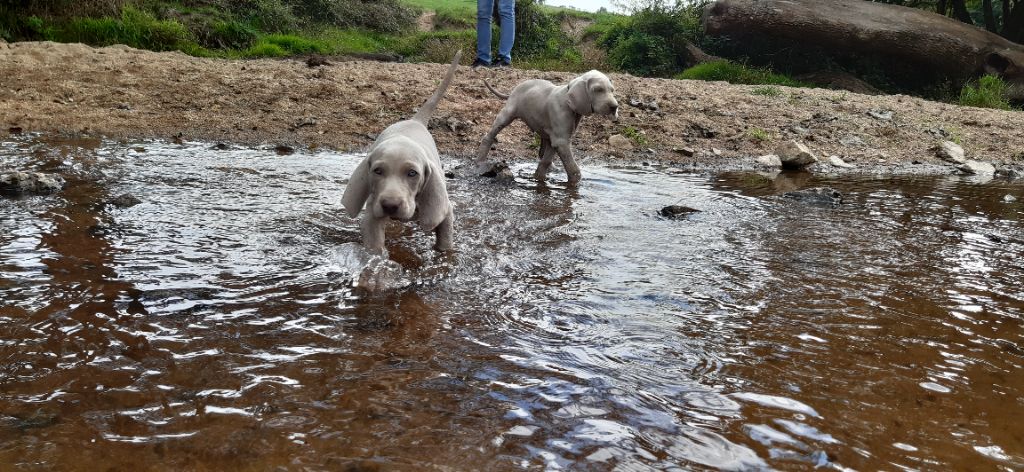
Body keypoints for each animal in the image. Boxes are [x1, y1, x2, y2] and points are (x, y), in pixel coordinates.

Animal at [342, 49, 462, 251]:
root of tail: (415, 120)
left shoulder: (444, 209)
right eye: (377, 171)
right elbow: (374, 245)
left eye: (412, 173)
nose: (390, 205)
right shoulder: (373, 214)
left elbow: (445, 241)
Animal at [468, 69, 614, 185]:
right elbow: (572, 167)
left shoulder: (557, 139)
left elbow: (546, 161)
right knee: (489, 136)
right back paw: (480, 162)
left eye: (612, 90)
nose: (615, 107)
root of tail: (514, 90)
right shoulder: (561, 141)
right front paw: (575, 182)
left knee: (543, 151)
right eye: (598, 90)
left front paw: (539, 178)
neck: (567, 99)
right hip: (507, 114)